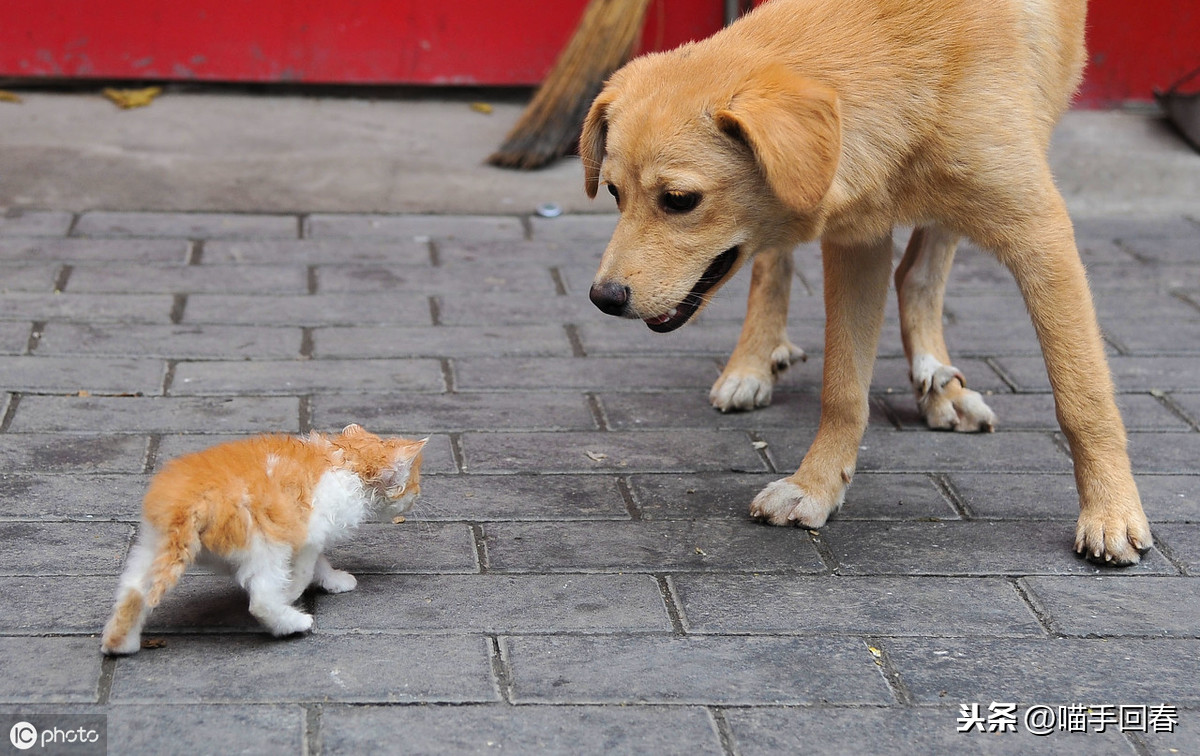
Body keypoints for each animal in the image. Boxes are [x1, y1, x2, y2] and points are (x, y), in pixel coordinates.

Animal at [100, 427, 427, 657]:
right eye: (414, 484)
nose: (418, 497)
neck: (346, 461)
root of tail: (189, 502)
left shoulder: (308, 534)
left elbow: (320, 563)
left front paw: (334, 580)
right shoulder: (309, 531)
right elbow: (306, 570)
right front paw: (294, 592)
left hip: (153, 546)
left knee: (132, 591)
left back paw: (119, 644)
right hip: (265, 545)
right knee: (260, 601)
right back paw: (293, 622)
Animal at [580, 0, 1152, 566]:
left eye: (680, 200)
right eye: (612, 193)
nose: (602, 298)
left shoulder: (1039, 233)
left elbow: (1083, 396)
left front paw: (1111, 513)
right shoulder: (857, 237)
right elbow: (843, 390)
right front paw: (815, 486)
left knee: (919, 272)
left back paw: (938, 379)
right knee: (776, 265)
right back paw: (751, 365)